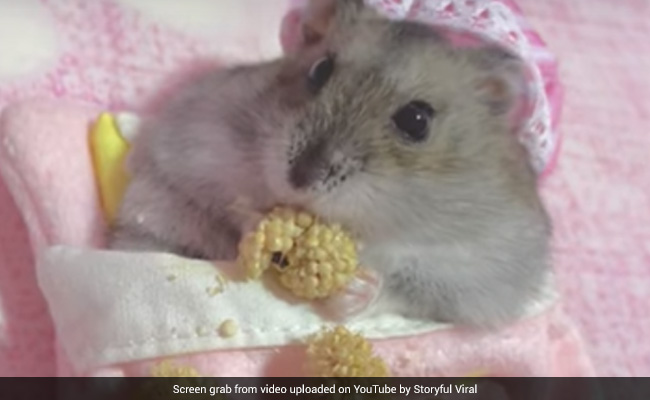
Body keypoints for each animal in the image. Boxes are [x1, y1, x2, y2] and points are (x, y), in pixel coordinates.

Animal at [109, 0, 551, 327]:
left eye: (417, 120)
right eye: (320, 70)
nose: (299, 178)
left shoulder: (478, 271)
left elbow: (406, 289)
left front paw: (353, 294)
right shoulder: (195, 144)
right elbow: (224, 203)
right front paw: (257, 220)